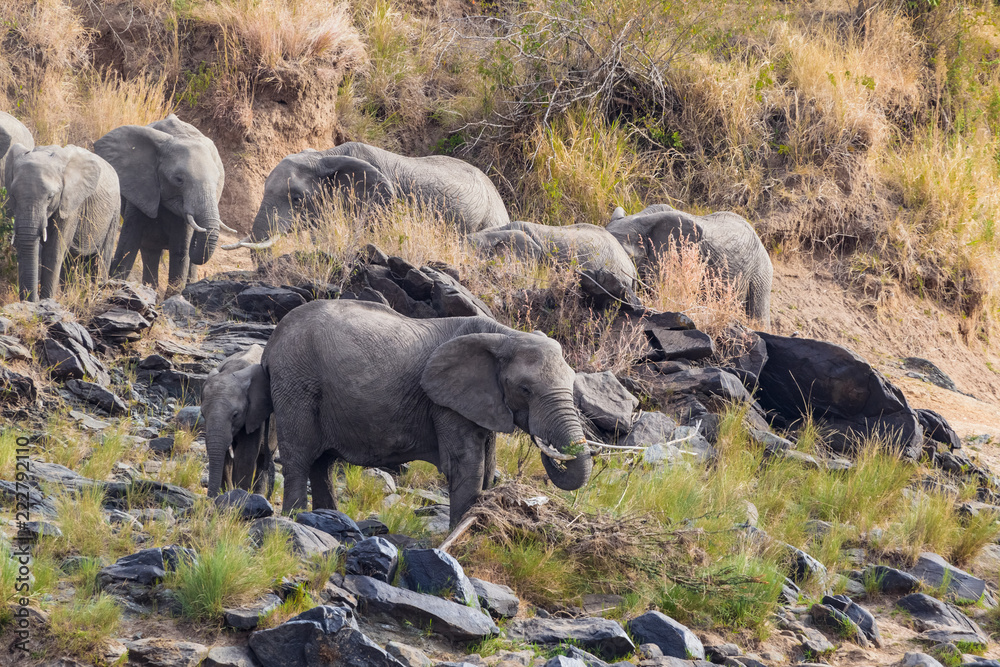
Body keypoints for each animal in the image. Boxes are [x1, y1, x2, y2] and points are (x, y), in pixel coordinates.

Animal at [3, 144, 120, 302]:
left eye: (50, 197)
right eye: (13, 196)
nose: (32, 299)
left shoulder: (70, 204)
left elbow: (54, 251)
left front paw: (47, 300)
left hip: (114, 211)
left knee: (100, 259)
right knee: (72, 261)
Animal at [94, 114, 237, 293]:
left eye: (217, 182)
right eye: (179, 179)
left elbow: (180, 250)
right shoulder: (141, 186)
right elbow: (129, 242)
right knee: (149, 249)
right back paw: (151, 288)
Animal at [202, 344, 277, 499]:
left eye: (235, 415)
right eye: (202, 414)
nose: (210, 498)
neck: (233, 370)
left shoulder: (255, 412)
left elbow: (245, 456)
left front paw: (239, 496)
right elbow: (224, 455)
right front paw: (227, 494)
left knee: (263, 459)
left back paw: (259, 496)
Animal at [262, 299, 592, 527]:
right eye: (525, 389)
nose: (548, 445)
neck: (505, 335)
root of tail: (271, 343)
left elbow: (487, 468)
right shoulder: (445, 402)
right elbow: (466, 465)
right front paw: (460, 539)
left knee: (323, 463)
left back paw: (327, 519)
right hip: (296, 383)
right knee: (300, 456)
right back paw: (293, 519)